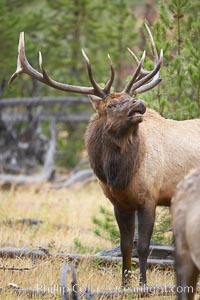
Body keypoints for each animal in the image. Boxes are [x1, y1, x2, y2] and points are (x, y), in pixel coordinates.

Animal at [9, 24, 200, 284]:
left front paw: (143, 284)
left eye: (129, 98)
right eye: (110, 104)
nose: (139, 103)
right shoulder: (119, 202)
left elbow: (143, 247)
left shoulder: (150, 196)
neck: (117, 174)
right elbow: (125, 246)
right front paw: (124, 284)